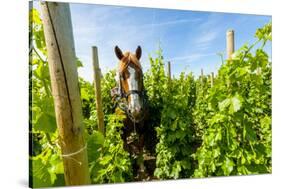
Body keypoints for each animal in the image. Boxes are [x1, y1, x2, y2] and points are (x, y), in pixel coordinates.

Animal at [110, 45, 148, 179]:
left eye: (141, 74)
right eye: (122, 75)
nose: (136, 110)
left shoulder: (142, 128)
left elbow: (140, 146)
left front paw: (142, 167)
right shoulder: (122, 131)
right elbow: (125, 147)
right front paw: (128, 166)